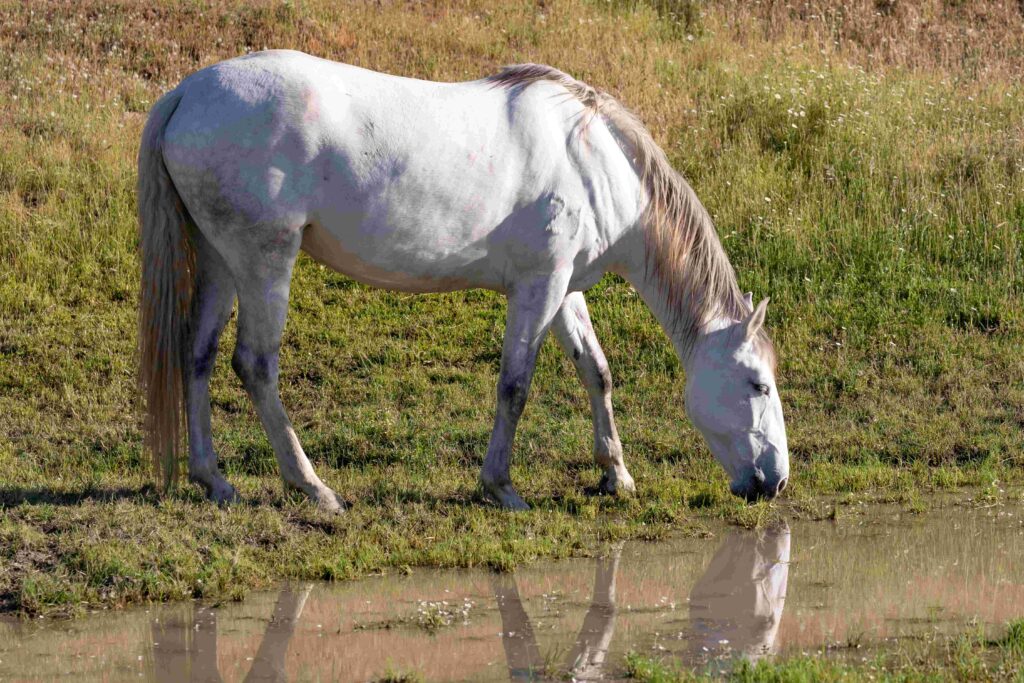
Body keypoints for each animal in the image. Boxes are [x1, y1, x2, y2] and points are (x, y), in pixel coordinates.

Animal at [138, 50, 790, 509]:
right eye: (757, 385)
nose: (774, 482)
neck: (593, 158)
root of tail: (186, 93)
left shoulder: (564, 289)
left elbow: (596, 372)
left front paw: (616, 475)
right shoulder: (539, 288)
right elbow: (515, 385)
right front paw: (501, 486)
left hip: (221, 261)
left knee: (197, 355)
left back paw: (214, 480)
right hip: (264, 261)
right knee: (255, 365)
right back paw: (313, 487)